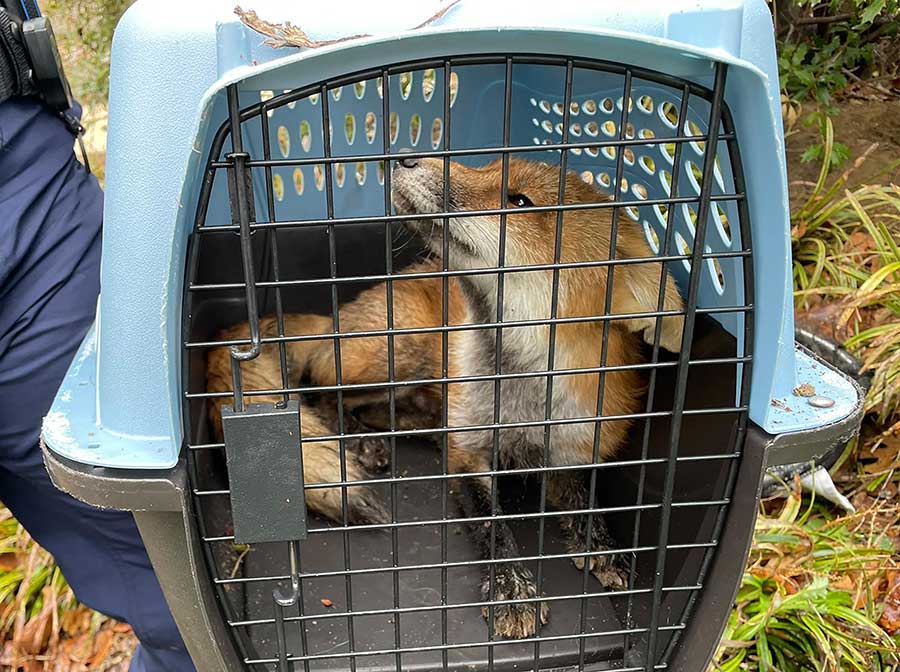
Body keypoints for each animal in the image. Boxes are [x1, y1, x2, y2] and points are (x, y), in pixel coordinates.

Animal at [206, 156, 685, 639]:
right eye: (488, 164)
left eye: (520, 201)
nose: (406, 156)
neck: (520, 400)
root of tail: (337, 318)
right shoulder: (469, 455)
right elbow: (493, 524)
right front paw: (511, 587)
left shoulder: (573, 447)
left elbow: (587, 501)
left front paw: (602, 546)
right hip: (401, 354)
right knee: (321, 392)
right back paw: (361, 441)